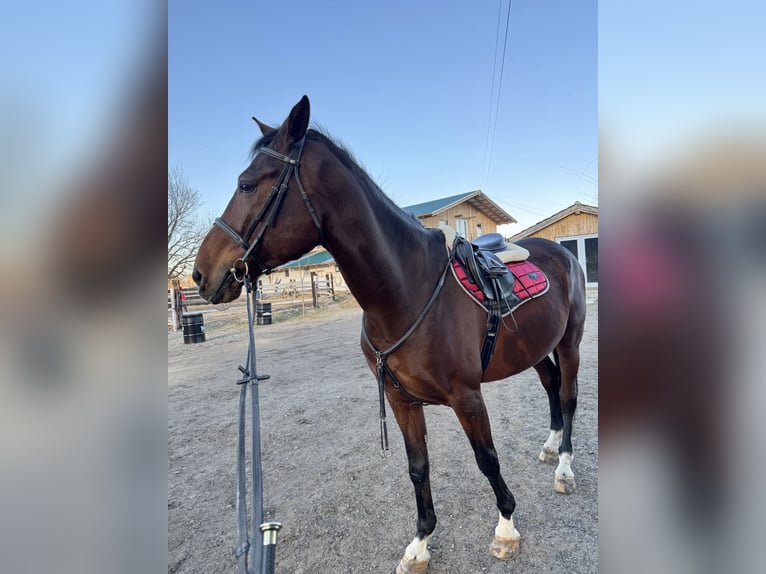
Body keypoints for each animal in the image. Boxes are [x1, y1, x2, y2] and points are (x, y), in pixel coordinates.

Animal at [194, 97, 588, 572]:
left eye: (247, 184)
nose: (201, 273)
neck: (407, 290)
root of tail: (564, 254)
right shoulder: (401, 400)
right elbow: (417, 467)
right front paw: (420, 544)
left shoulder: (468, 397)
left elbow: (487, 459)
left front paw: (506, 529)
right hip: (534, 349)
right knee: (550, 385)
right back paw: (550, 446)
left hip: (570, 343)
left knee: (567, 396)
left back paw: (564, 467)